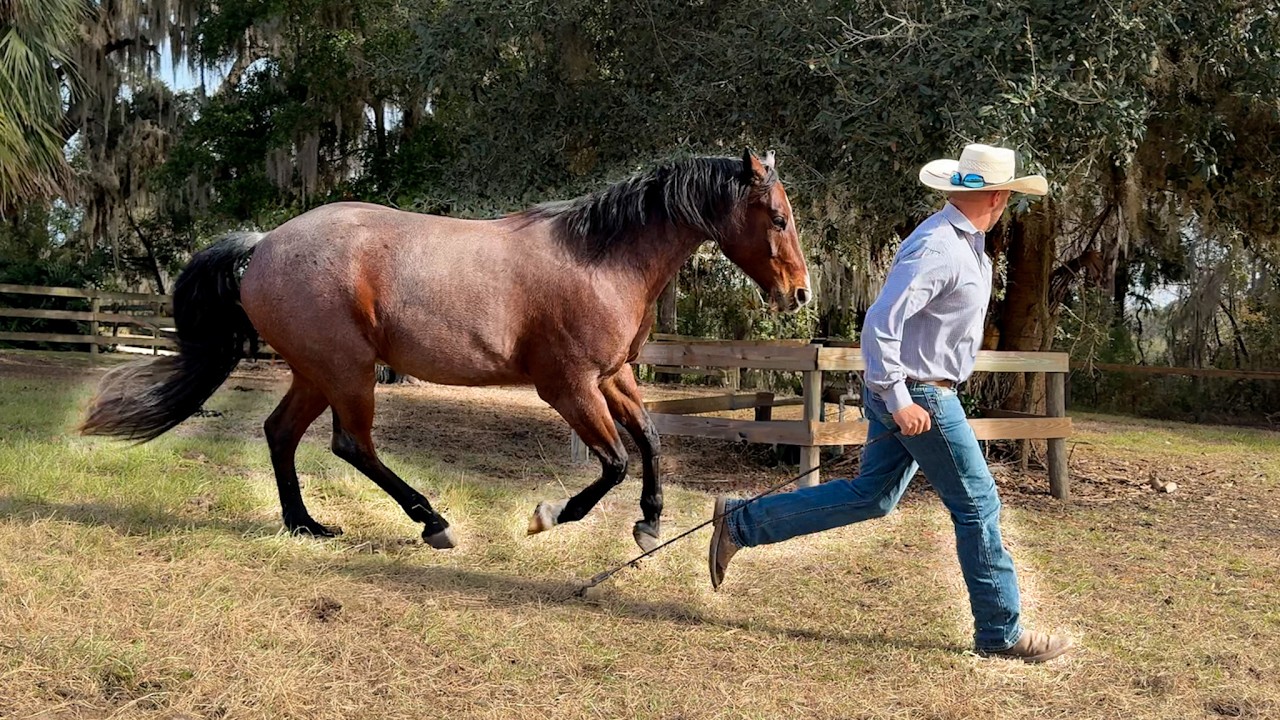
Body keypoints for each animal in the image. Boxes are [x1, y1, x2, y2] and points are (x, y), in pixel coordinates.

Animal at [79, 149, 811, 552]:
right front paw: (549, 517)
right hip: (348, 371)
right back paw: (432, 522)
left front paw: (650, 525)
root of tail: (262, 245)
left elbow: (651, 443)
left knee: (281, 434)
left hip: (317, 372)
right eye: (777, 217)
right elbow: (613, 463)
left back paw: (306, 526)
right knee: (351, 445)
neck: (600, 259)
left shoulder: (614, 377)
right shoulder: (568, 385)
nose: (800, 294)